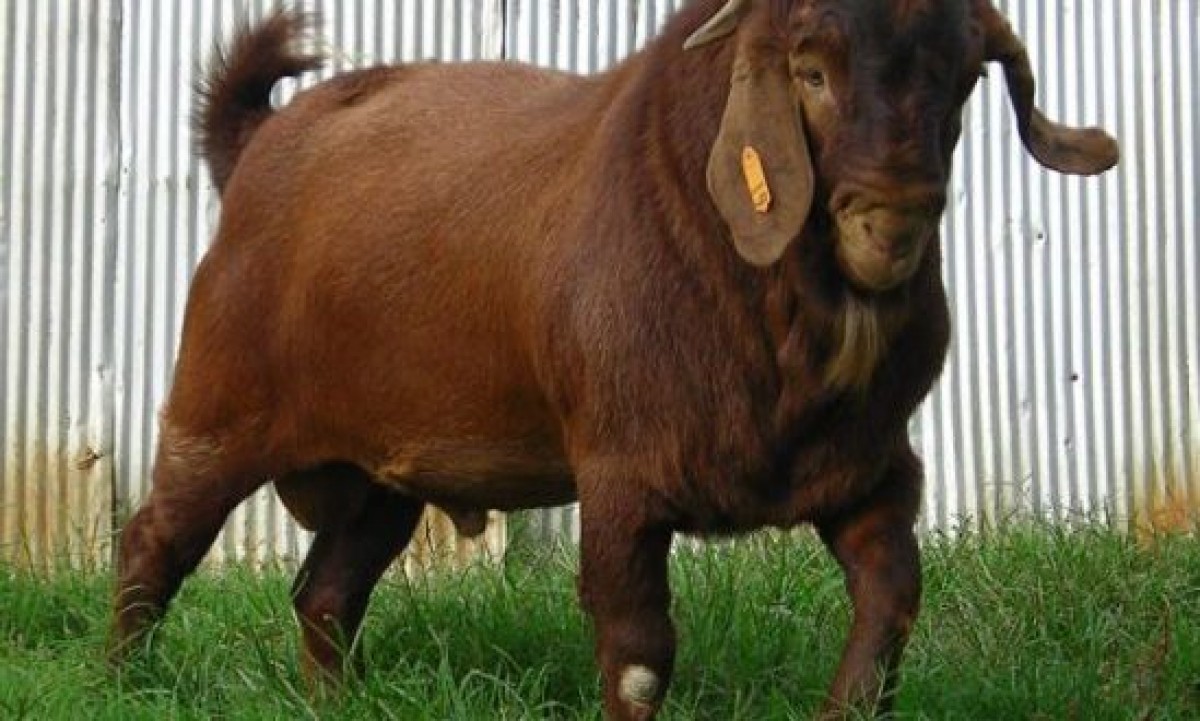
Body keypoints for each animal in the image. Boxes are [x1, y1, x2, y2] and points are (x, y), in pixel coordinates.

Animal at [110, 1, 1118, 718]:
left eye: (965, 78)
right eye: (811, 71)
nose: (892, 223)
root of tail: (254, 146)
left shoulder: (870, 471)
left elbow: (890, 608)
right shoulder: (623, 473)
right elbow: (638, 653)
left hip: (384, 470)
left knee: (326, 590)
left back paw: (332, 704)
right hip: (218, 404)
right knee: (156, 538)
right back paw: (128, 679)